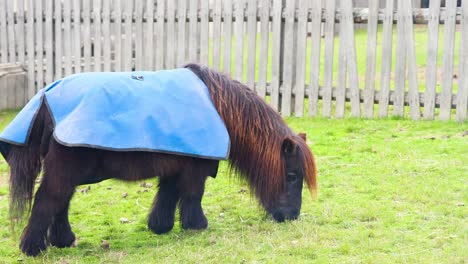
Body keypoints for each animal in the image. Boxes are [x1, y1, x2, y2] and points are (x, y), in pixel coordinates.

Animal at [4, 64, 318, 256]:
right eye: (292, 176)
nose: (291, 216)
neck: (218, 106)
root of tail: (46, 98)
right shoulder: (194, 169)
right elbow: (192, 195)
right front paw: (196, 224)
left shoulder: (175, 164)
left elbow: (167, 195)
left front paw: (160, 226)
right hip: (64, 170)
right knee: (49, 200)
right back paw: (33, 247)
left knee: (61, 202)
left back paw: (62, 240)